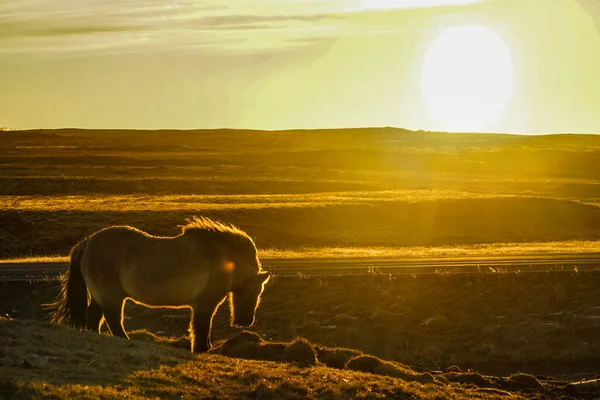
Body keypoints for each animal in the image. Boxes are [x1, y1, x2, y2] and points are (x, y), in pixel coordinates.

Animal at [51, 217, 272, 352]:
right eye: (256, 292)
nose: (246, 322)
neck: (221, 258)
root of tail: (87, 242)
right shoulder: (204, 304)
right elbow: (201, 327)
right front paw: (201, 349)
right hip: (111, 297)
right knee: (113, 319)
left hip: (101, 297)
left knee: (95, 317)